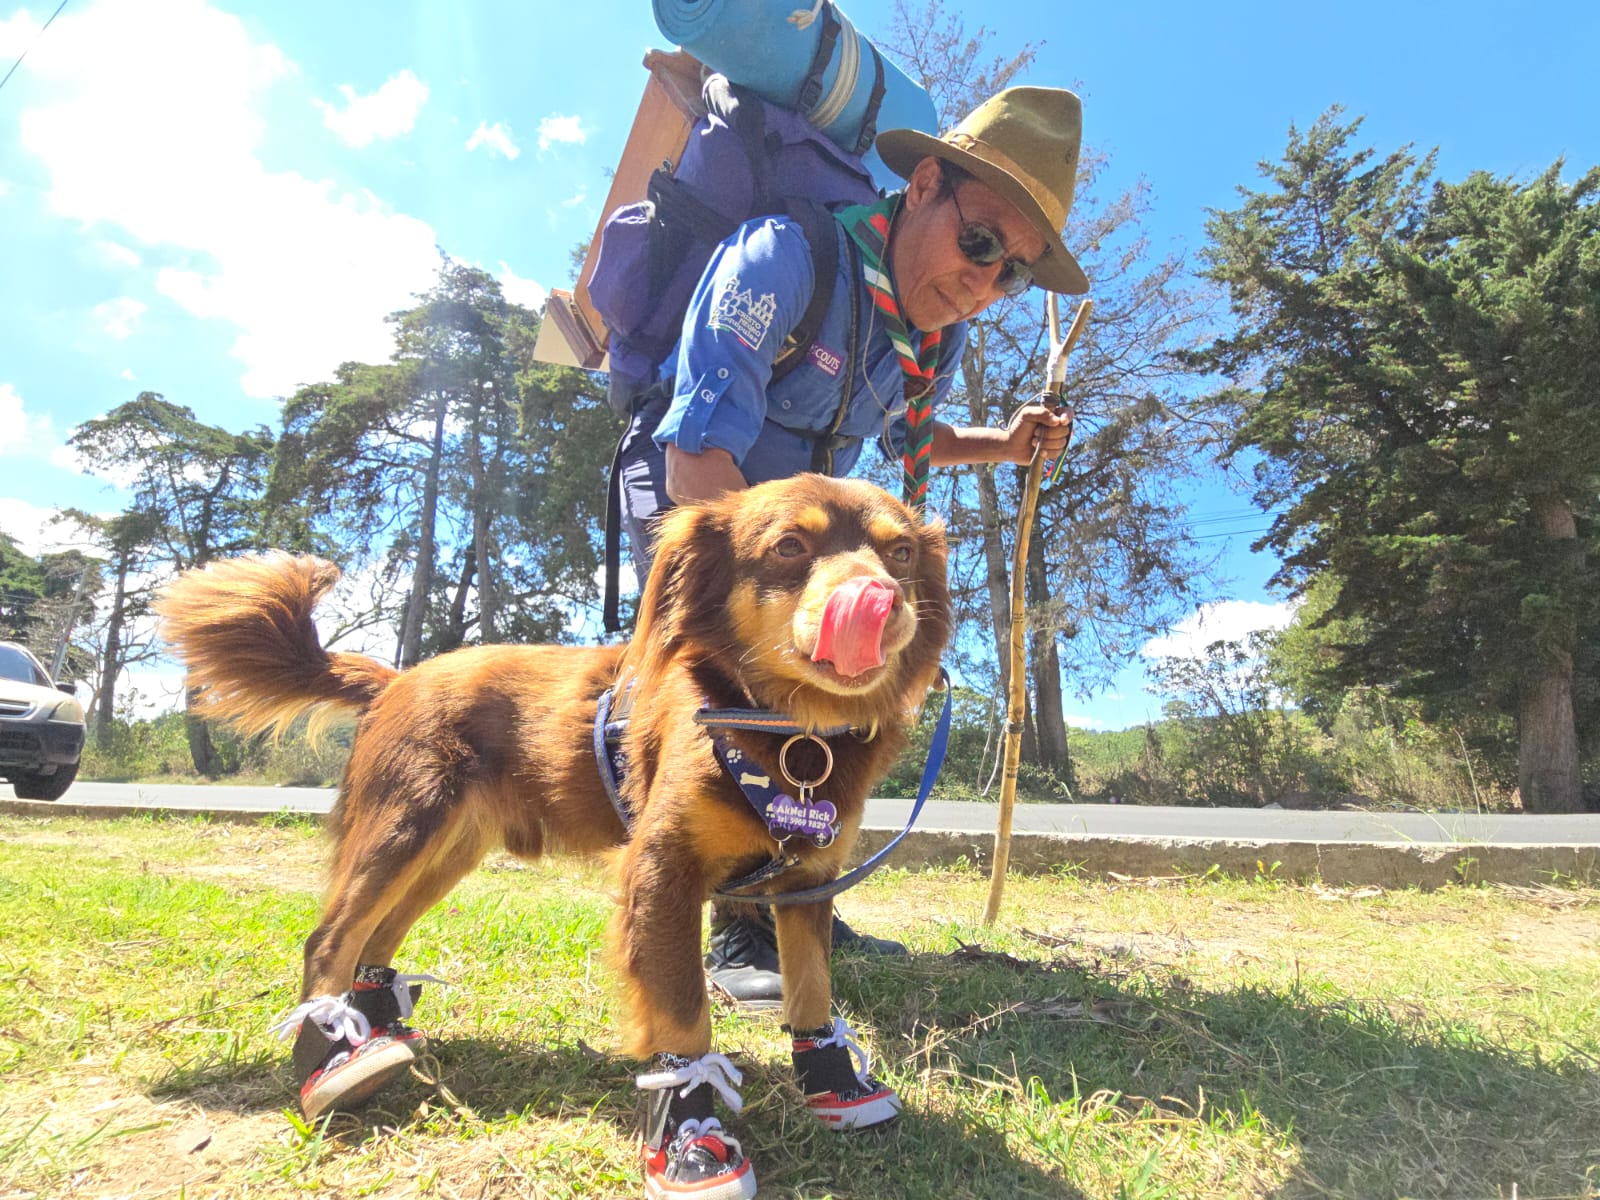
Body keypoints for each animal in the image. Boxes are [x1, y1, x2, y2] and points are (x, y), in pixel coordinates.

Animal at [156, 473, 947, 1196]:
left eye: (902, 552)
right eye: (789, 547)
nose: (885, 601)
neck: (785, 728)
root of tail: (394, 680)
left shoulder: (808, 878)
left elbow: (812, 990)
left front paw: (835, 1085)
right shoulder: (661, 874)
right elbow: (684, 1019)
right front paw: (694, 1137)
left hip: (447, 849)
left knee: (376, 938)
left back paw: (378, 1031)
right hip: (402, 825)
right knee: (330, 938)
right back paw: (333, 1062)